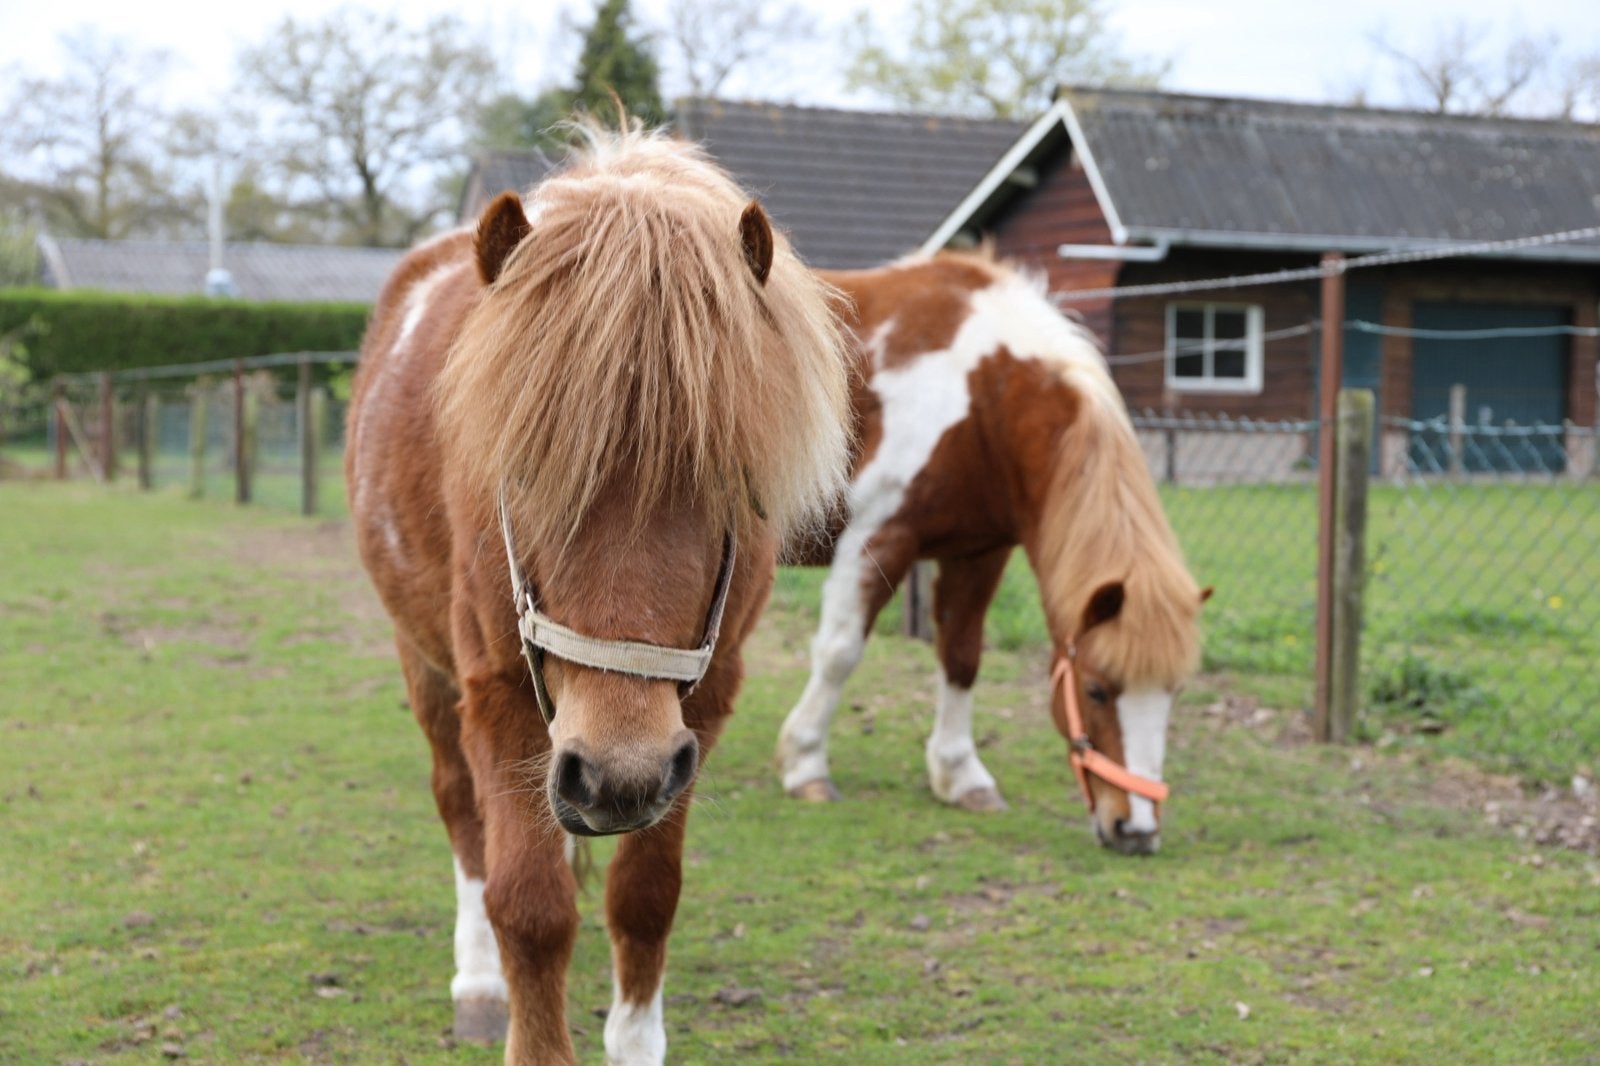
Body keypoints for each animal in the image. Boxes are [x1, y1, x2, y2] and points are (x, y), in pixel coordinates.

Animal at [345, 124, 851, 1064]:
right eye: (525, 470)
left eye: (727, 478)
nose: (619, 770)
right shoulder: (499, 697)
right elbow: (529, 907)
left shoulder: (701, 707)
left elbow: (646, 895)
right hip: (425, 666)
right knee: (459, 812)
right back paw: (477, 985)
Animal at [776, 251, 1207, 856]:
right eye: (1095, 690)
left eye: (1175, 690)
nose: (1136, 831)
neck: (984, 395)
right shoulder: (876, 539)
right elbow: (839, 654)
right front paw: (806, 764)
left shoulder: (979, 554)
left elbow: (961, 657)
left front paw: (961, 777)